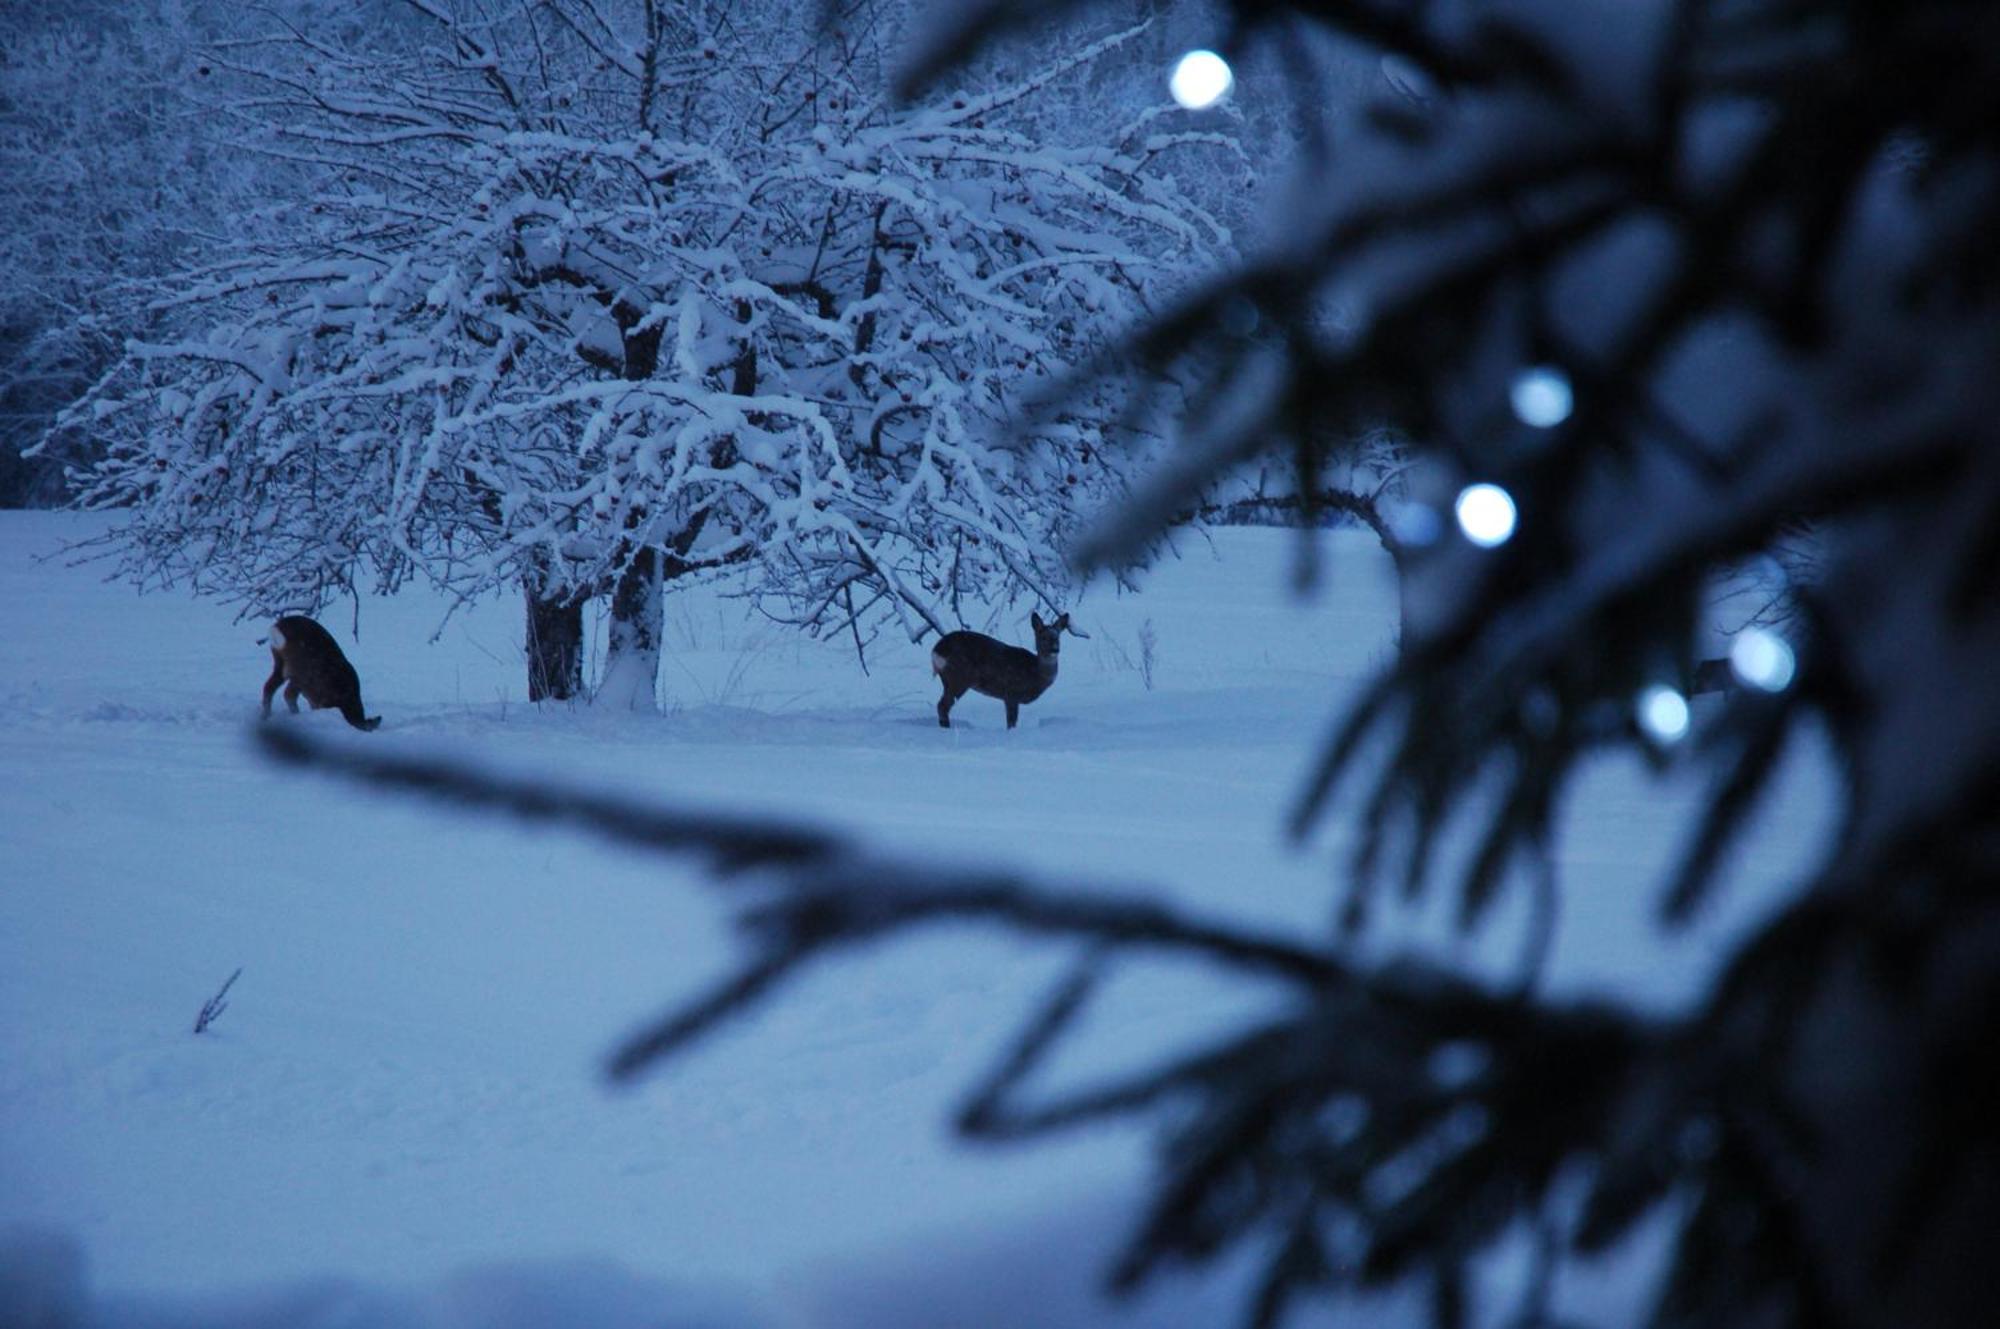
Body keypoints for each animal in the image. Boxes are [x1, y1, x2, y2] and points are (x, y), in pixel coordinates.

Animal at [924, 608, 1072, 728]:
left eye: (1057, 637)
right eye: (1043, 637)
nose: (1055, 649)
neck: (1033, 671)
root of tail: (937, 649)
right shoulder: (1011, 692)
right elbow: (1011, 722)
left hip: (949, 679)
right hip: (958, 677)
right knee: (943, 705)